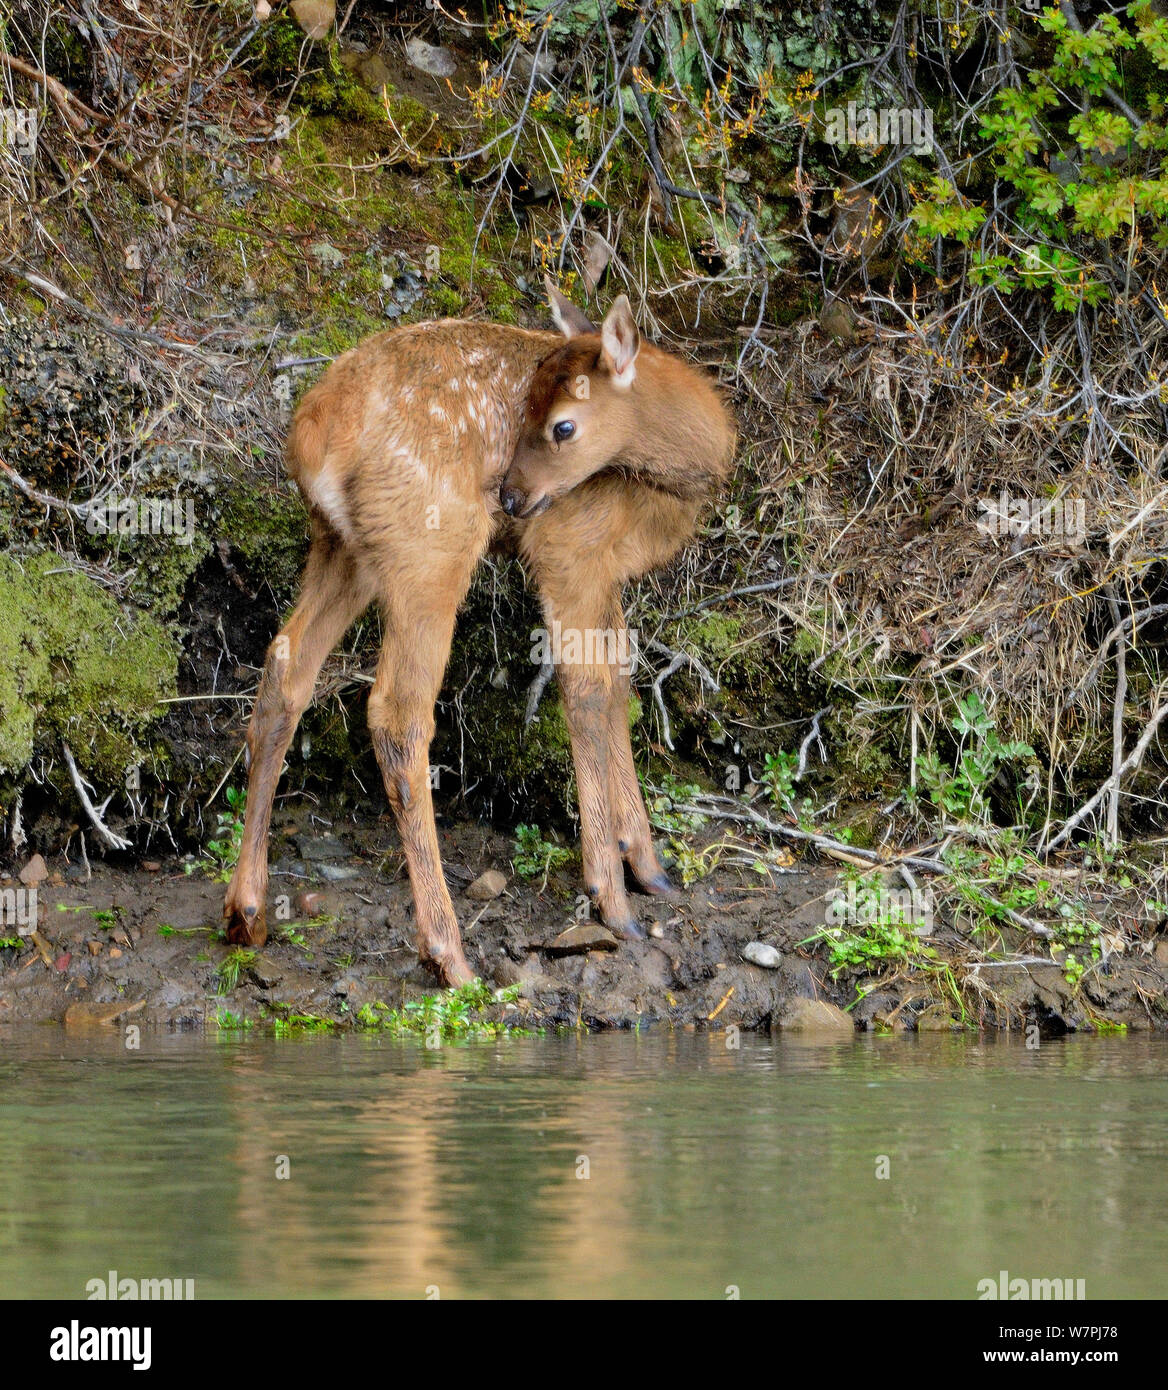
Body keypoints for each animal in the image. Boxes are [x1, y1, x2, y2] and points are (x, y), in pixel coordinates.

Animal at [225, 276, 734, 984]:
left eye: (561, 423)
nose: (513, 499)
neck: (672, 483)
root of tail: (314, 435)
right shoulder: (569, 548)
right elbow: (588, 692)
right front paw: (612, 895)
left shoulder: (606, 571)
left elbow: (620, 680)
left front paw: (648, 864)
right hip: (432, 548)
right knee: (397, 712)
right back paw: (449, 952)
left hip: (345, 549)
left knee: (284, 667)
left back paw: (246, 912)